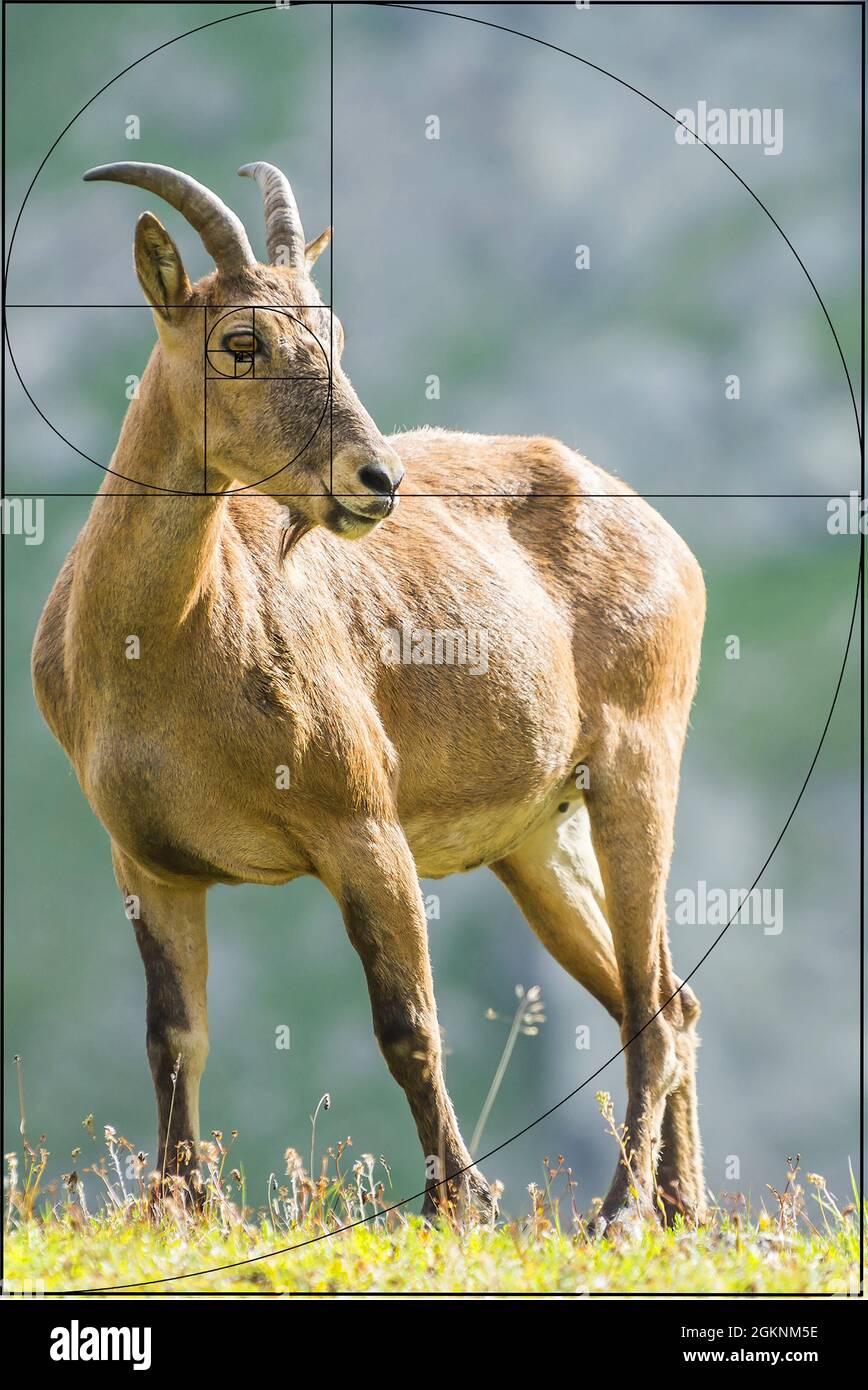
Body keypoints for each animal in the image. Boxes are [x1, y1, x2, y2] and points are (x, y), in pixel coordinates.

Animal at [32, 161, 706, 1228]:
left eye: (336, 335)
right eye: (241, 342)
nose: (376, 478)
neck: (161, 654)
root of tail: (664, 537)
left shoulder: (363, 827)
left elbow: (408, 1026)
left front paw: (459, 1204)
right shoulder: (149, 862)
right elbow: (172, 1038)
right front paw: (177, 1207)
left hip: (639, 766)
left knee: (651, 1007)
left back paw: (618, 1214)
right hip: (533, 841)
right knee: (670, 1001)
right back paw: (682, 1214)